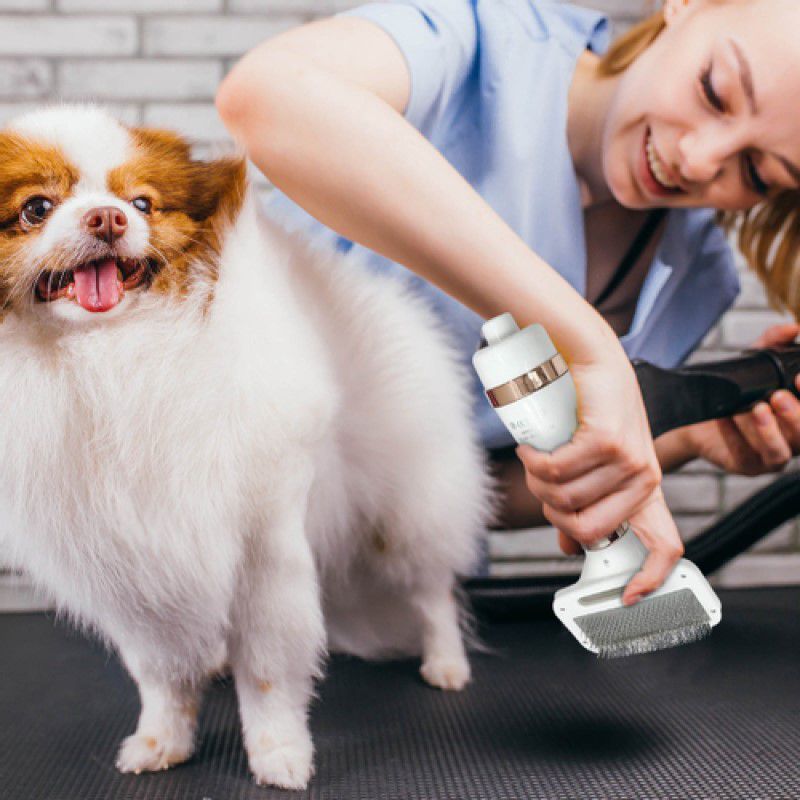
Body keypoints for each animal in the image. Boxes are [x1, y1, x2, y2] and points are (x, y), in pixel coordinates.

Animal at [0, 104, 496, 788]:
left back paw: (446, 664)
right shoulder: (132, 563)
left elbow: (266, 669)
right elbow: (160, 675)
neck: (113, 359)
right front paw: (161, 741)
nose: (108, 218)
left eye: (142, 203)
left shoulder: (265, 543)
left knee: (432, 591)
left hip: (404, 513)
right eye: (36, 208)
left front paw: (279, 753)